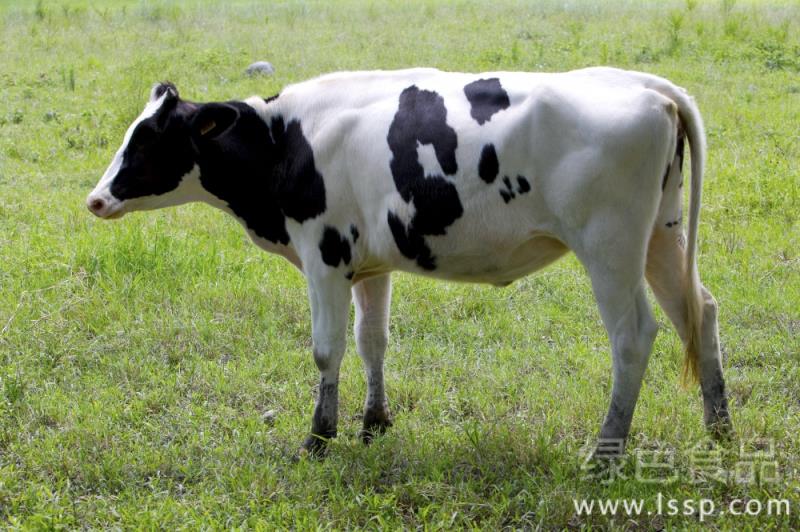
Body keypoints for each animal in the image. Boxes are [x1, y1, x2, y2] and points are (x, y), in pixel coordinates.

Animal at [86, 66, 732, 458]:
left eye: (150, 139)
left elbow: (327, 348)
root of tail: (646, 87)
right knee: (698, 312)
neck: (285, 140)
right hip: (661, 237)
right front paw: (373, 423)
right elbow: (373, 340)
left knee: (634, 336)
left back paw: (605, 453)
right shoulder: (370, 266)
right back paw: (720, 430)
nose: (96, 199)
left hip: (609, 246)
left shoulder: (324, 255)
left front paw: (319, 439)